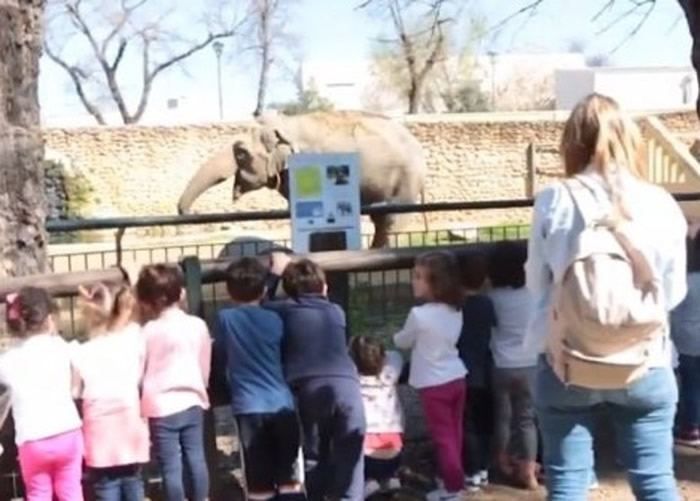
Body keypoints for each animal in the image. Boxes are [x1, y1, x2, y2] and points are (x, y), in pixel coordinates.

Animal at [176, 111, 426, 248]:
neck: (285, 123)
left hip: (405, 180)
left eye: (240, 153)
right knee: (381, 219)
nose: (188, 213)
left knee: (392, 220)